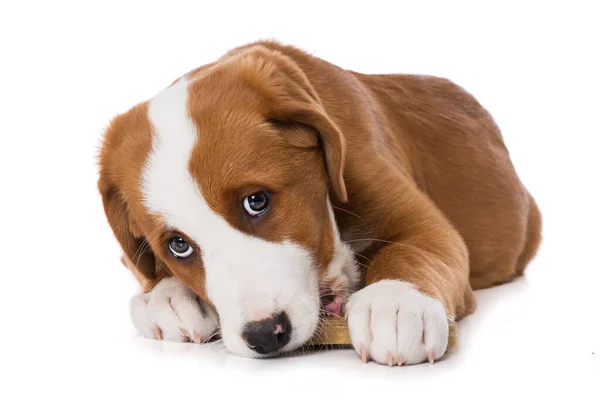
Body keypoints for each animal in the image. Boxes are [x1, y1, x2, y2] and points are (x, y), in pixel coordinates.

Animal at [97, 40, 540, 366]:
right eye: (178, 246)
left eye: (256, 201)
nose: (264, 335)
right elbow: (145, 271)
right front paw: (167, 295)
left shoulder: (427, 223)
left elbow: (416, 250)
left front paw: (395, 302)